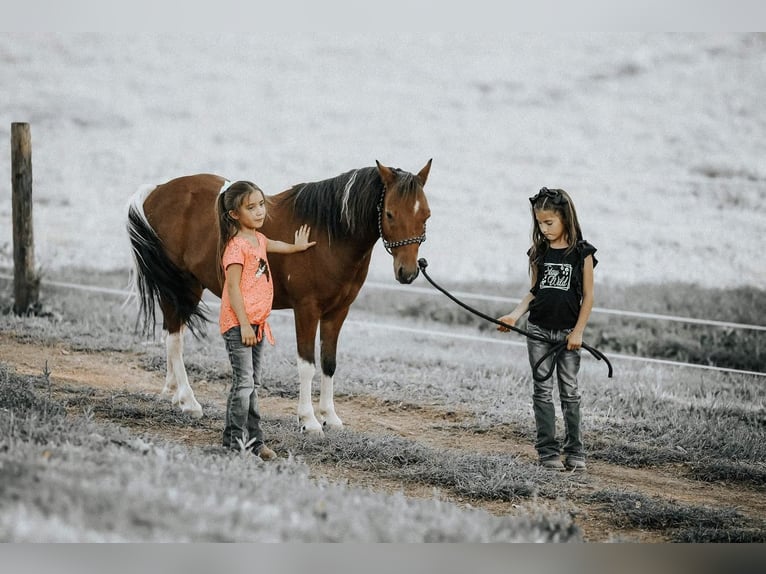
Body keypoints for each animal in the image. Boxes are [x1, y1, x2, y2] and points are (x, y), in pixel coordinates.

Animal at [126, 160, 432, 434]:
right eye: (390, 214)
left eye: (426, 215)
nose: (407, 272)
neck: (329, 234)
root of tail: (156, 191)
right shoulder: (306, 309)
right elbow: (307, 365)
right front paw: (309, 420)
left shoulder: (337, 312)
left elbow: (329, 363)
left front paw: (330, 417)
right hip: (180, 286)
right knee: (174, 340)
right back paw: (189, 401)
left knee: (171, 334)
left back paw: (174, 393)